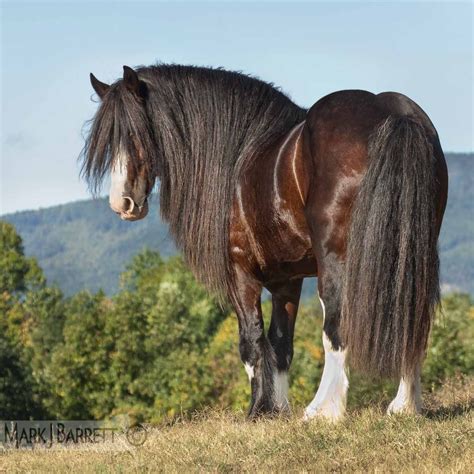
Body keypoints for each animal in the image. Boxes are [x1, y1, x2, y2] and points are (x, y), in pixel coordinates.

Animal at [81, 64, 448, 422]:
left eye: (134, 132)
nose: (122, 203)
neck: (238, 158)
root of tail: (393, 114)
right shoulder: (288, 279)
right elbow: (281, 343)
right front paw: (278, 409)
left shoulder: (240, 272)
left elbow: (252, 340)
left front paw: (258, 410)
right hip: (412, 251)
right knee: (413, 315)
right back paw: (404, 406)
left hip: (338, 260)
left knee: (336, 324)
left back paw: (324, 410)